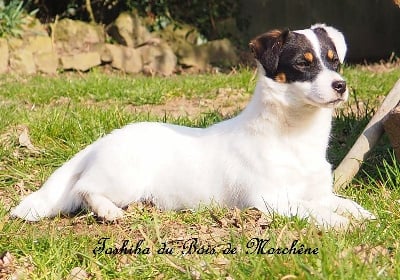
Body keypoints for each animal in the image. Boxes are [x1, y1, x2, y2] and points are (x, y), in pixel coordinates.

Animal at [10, 24, 376, 228]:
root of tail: (103, 141)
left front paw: (364, 215)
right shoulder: (272, 199)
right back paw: (108, 211)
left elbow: (341, 203)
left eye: (335, 61)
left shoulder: (320, 192)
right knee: (84, 189)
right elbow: (313, 210)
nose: (341, 85)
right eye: (303, 63)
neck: (295, 135)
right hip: (124, 180)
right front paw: (339, 223)